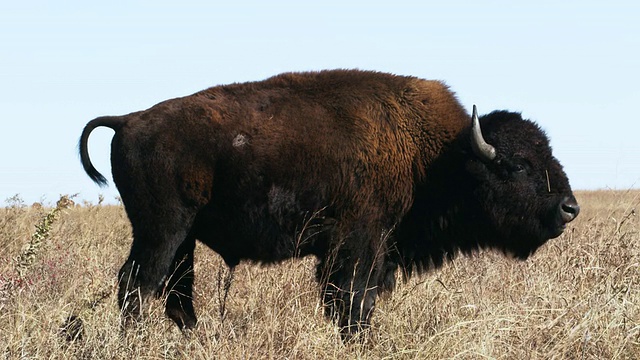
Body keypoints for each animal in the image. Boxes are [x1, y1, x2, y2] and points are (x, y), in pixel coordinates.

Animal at [79, 69, 580, 338]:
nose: (569, 208)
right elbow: (352, 303)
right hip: (162, 231)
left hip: (183, 239)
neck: (437, 156)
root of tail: (129, 120)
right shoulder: (358, 246)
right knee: (137, 286)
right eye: (517, 165)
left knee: (174, 294)